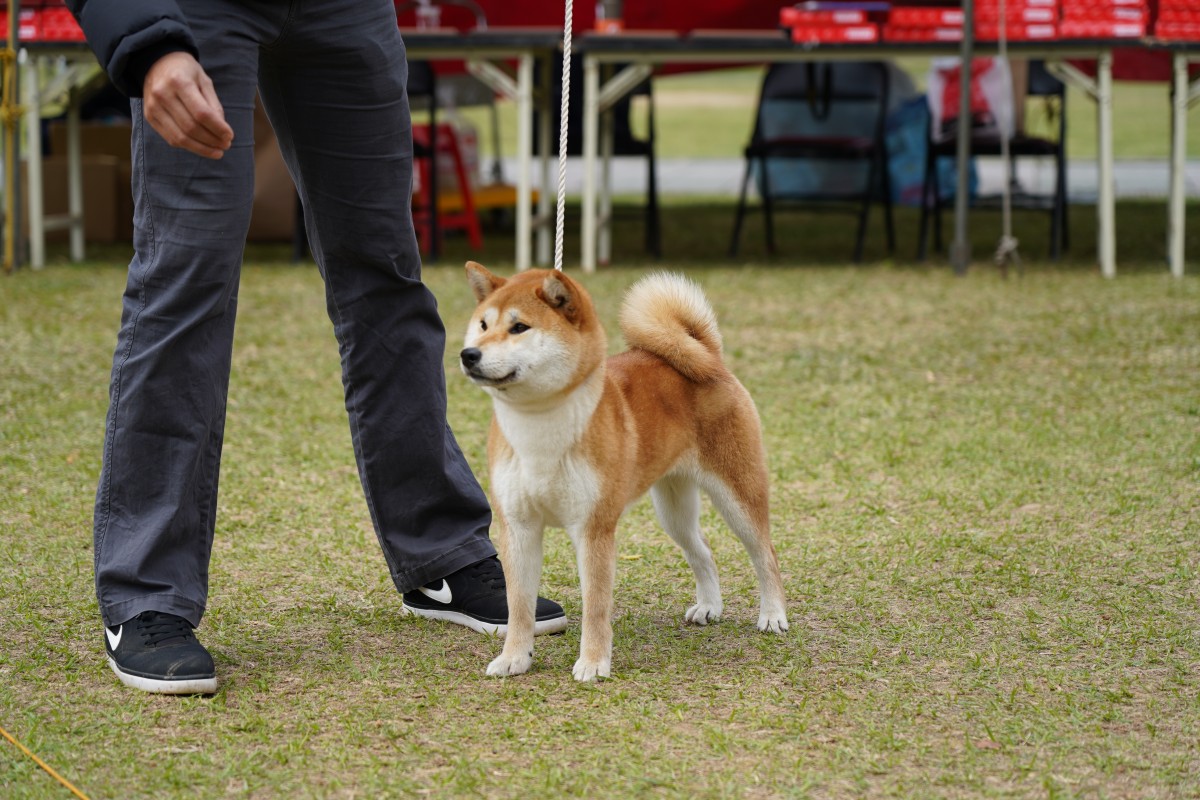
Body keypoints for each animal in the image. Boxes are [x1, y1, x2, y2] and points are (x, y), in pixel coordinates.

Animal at [458, 262, 787, 681]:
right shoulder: (518, 527)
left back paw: (773, 615)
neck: (539, 426)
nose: (469, 354)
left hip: (738, 494)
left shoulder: (594, 529)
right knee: (703, 550)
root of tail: (709, 356)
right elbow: (518, 606)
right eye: (483, 324)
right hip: (673, 511)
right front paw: (514, 657)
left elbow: (596, 606)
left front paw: (593, 663)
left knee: (765, 553)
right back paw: (709, 606)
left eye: (519, 327)